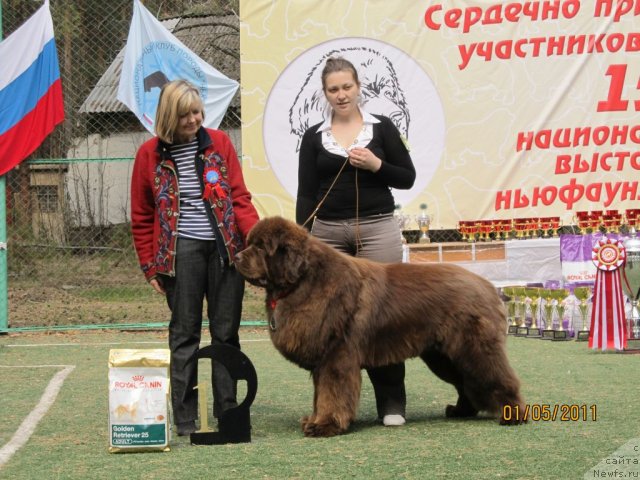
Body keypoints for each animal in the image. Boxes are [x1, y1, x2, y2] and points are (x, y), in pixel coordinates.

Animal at [235, 217, 524, 436]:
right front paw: (314, 420)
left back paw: (513, 415)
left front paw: (325, 426)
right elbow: (320, 395)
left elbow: (331, 393)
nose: (236, 256)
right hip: (443, 355)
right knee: (465, 382)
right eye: (250, 244)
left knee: (498, 377)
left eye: (261, 247)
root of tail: (488, 285)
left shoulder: (336, 358)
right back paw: (460, 411)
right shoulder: (323, 360)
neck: (304, 280)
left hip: (472, 349)